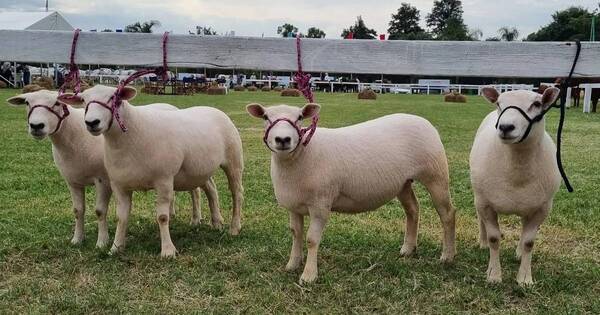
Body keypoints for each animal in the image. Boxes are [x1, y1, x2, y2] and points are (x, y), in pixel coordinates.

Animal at [5, 90, 207, 248]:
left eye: (56, 103)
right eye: (27, 103)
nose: (36, 126)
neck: (74, 137)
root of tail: (169, 105)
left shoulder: (103, 180)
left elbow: (100, 211)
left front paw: (102, 242)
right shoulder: (72, 181)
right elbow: (77, 210)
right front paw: (77, 239)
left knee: (195, 191)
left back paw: (195, 219)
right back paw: (172, 213)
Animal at [58, 85, 241, 258]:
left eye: (113, 97)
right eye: (83, 100)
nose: (91, 122)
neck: (133, 134)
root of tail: (214, 109)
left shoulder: (164, 180)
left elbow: (162, 217)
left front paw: (167, 251)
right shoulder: (119, 185)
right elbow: (121, 217)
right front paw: (116, 247)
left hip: (234, 161)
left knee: (236, 193)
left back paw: (234, 228)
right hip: (199, 170)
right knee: (211, 189)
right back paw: (216, 223)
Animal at [245, 103, 454, 284]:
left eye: (299, 117)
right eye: (265, 117)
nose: (283, 140)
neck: (302, 155)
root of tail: (423, 121)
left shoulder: (321, 204)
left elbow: (312, 240)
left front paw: (309, 276)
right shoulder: (294, 205)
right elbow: (296, 233)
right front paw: (292, 264)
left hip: (436, 174)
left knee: (448, 214)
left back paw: (447, 256)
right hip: (402, 183)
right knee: (413, 210)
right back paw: (408, 249)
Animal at [472, 87, 564, 286]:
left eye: (536, 104)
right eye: (499, 103)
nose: (506, 127)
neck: (517, 174)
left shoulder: (542, 208)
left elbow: (530, 242)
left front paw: (525, 278)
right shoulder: (485, 203)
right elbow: (494, 238)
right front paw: (494, 275)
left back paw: (519, 252)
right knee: (480, 219)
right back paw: (482, 243)